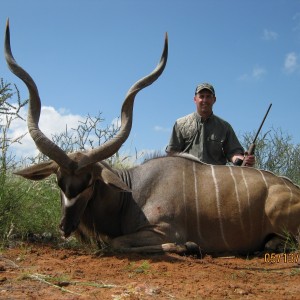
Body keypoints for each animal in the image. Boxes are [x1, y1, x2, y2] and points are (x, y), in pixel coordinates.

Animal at [4, 20, 300, 255]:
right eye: (58, 180)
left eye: (89, 181)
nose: (66, 226)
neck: (132, 191)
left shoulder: (164, 230)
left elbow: (117, 242)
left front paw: (188, 246)